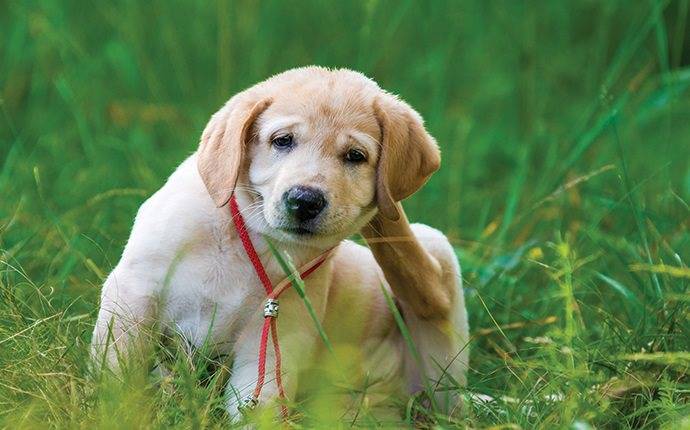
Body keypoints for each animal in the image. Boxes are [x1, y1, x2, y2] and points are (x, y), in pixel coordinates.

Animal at [91, 65, 468, 422]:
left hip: (435, 282)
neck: (251, 239)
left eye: (355, 156)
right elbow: (119, 372)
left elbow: (260, 407)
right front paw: (116, 412)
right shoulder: (135, 292)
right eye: (283, 141)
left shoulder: (276, 337)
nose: (305, 200)